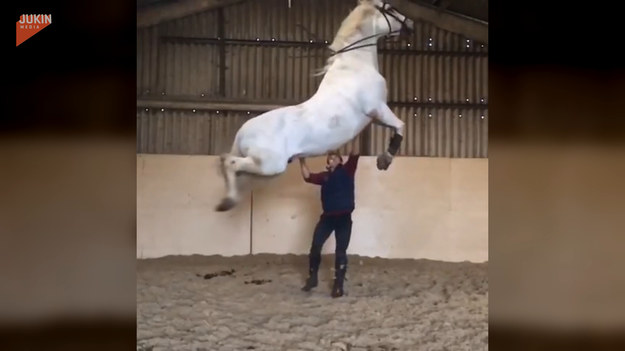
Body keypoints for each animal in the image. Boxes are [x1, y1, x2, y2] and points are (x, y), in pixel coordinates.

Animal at [217, 0, 412, 212]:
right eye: (390, 8)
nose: (410, 24)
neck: (356, 67)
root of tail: (242, 132)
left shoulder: (374, 118)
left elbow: (396, 126)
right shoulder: (377, 108)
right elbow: (401, 125)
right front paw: (385, 160)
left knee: (229, 163)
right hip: (270, 165)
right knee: (230, 162)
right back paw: (227, 202)